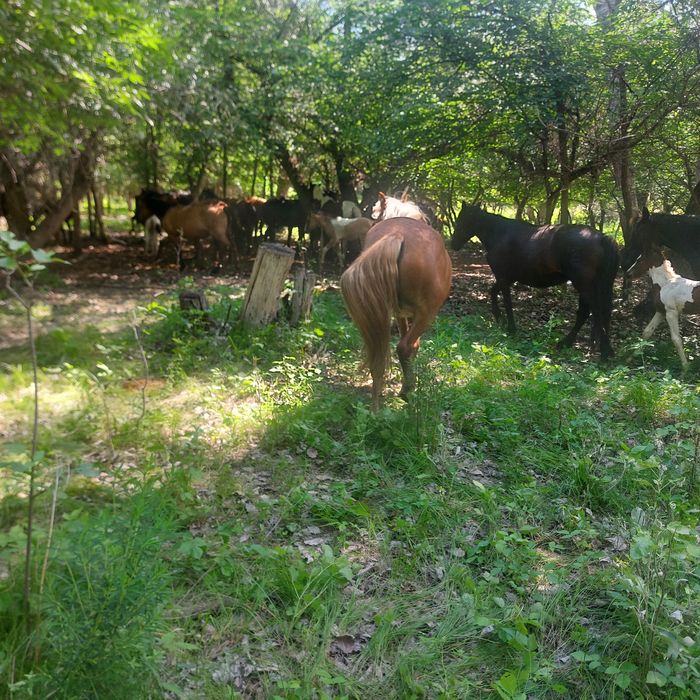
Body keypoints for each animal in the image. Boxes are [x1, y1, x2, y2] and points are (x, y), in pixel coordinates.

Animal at [340, 218, 452, 410]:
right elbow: (412, 345)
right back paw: (406, 392)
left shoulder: (400, 313)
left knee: (378, 355)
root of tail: (397, 234)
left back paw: (375, 405)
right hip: (427, 314)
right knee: (403, 347)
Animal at [452, 203, 618, 360]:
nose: (453, 243)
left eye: (461, 220)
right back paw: (574, 344)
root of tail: (601, 238)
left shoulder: (503, 278)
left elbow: (507, 302)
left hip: (583, 285)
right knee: (592, 312)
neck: (499, 234)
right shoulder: (507, 278)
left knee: (593, 311)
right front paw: (499, 318)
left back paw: (599, 351)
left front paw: (510, 328)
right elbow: (493, 292)